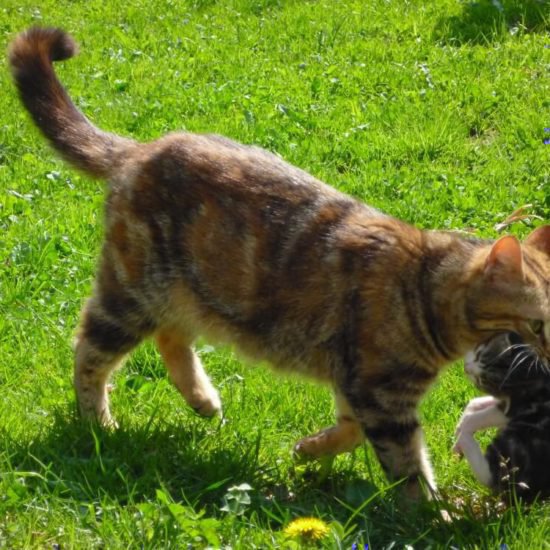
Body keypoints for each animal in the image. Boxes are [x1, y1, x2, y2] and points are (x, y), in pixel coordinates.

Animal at [454, 332, 550, 504]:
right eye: (478, 354)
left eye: (482, 380)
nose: (466, 368)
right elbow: (477, 403)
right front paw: (464, 419)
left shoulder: (521, 404)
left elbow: (482, 416)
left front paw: (464, 425)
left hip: (520, 444)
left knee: (492, 474)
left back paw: (462, 439)